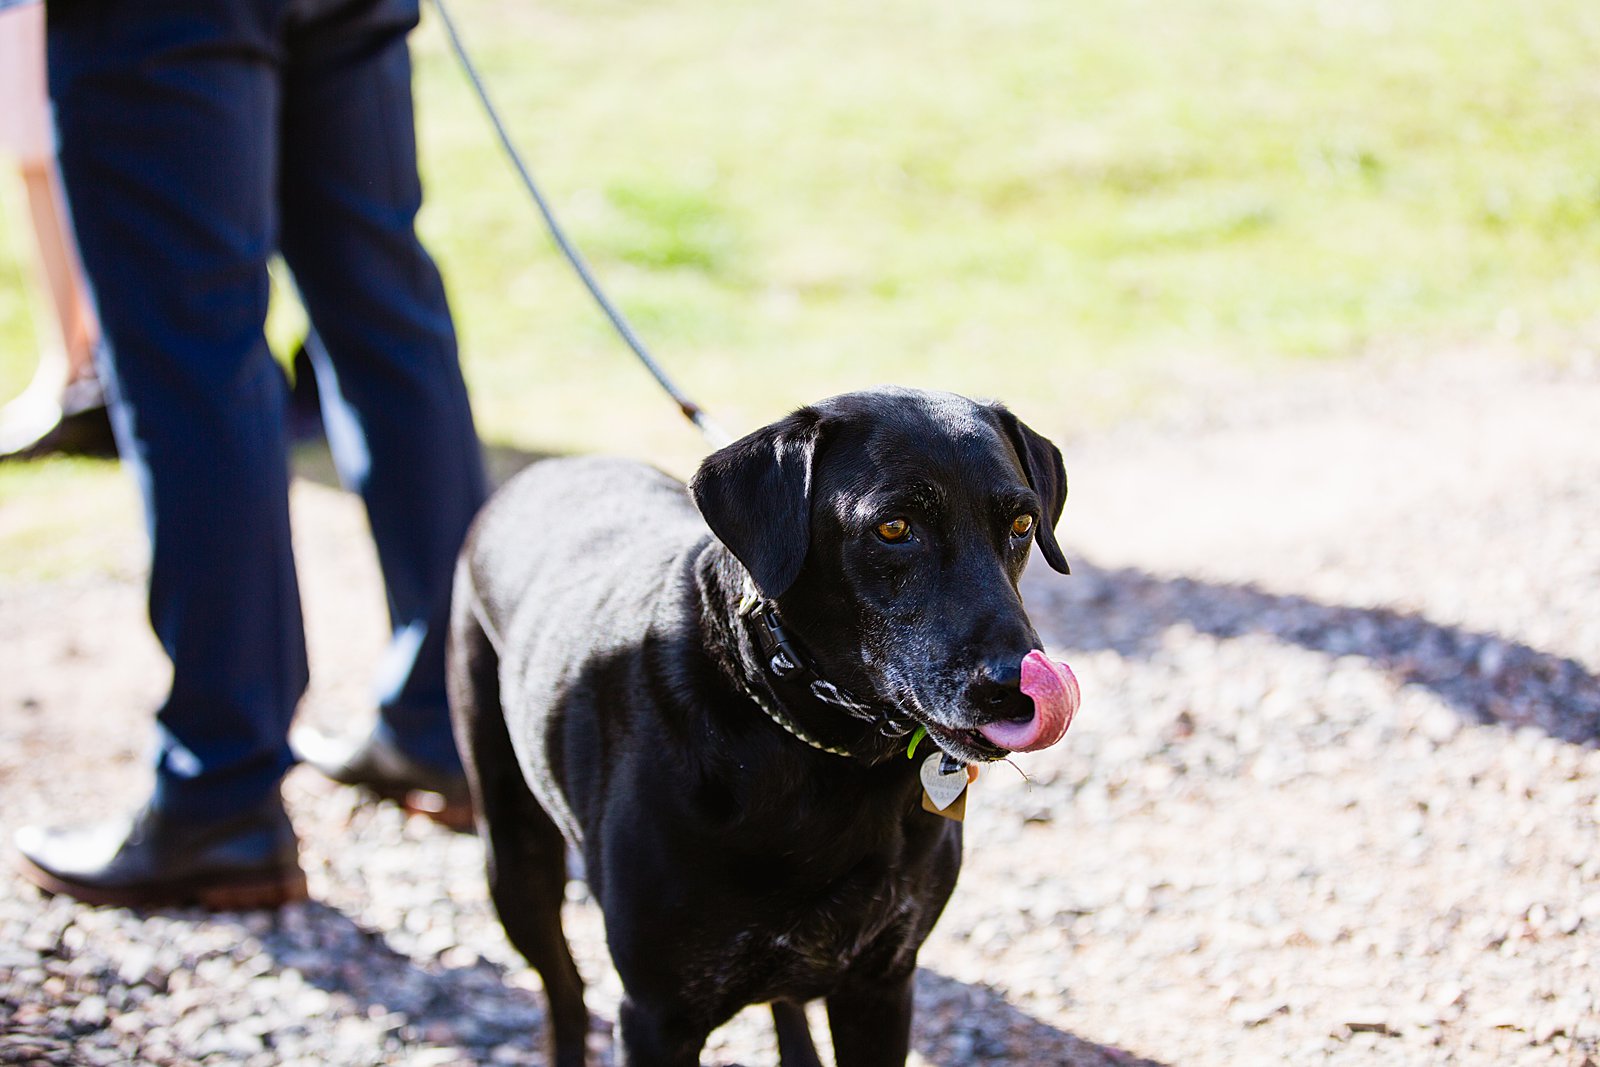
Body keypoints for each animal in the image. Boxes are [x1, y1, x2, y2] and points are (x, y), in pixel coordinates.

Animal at [451, 388, 1068, 1062]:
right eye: (893, 529)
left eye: (1021, 525)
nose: (1016, 691)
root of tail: (541, 472)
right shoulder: (656, 1016)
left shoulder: (881, 983)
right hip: (515, 859)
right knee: (564, 987)